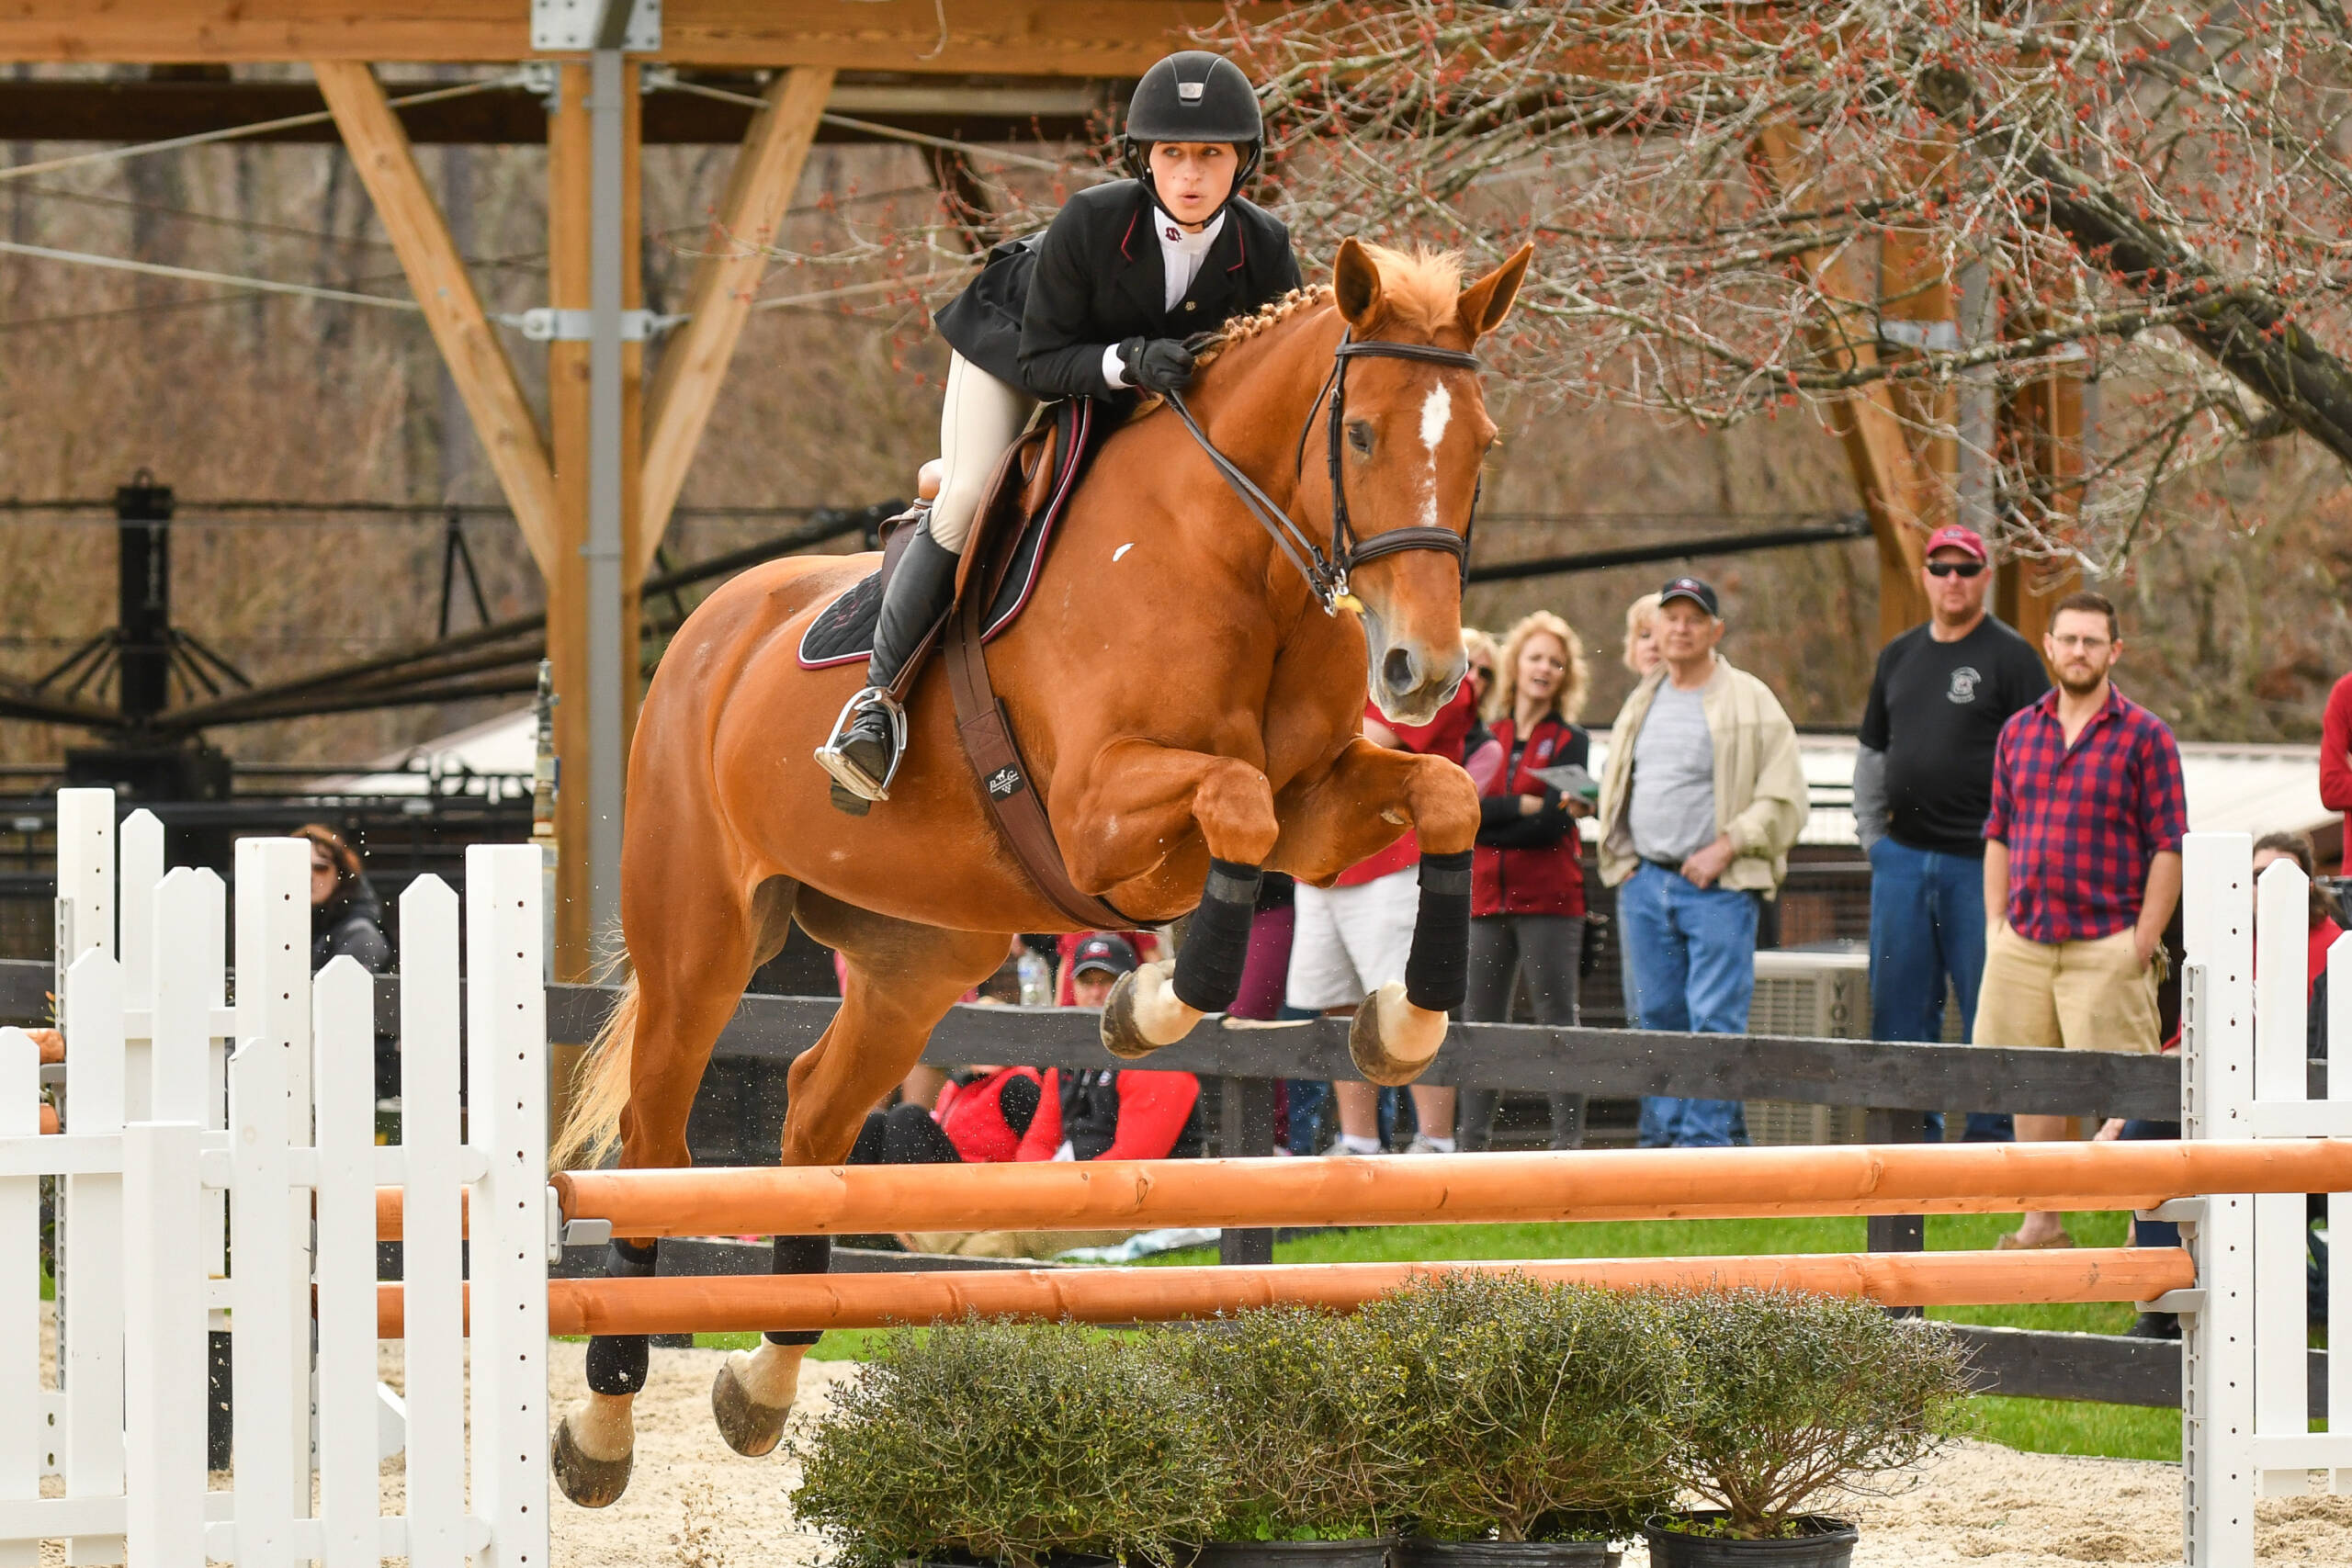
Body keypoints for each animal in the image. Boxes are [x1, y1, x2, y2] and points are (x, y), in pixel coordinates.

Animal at [540, 236, 1533, 1504]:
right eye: (1358, 433)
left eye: (1482, 445)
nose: (1421, 673)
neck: (1231, 557)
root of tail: (709, 629)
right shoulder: (1101, 817)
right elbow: (1235, 802)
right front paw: (1150, 1003)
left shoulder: (1316, 814)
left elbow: (1438, 796)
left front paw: (1400, 1025)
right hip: (700, 945)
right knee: (656, 1146)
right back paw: (602, 1426)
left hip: (916, 961)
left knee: (814, 1116)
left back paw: (760, 1386)